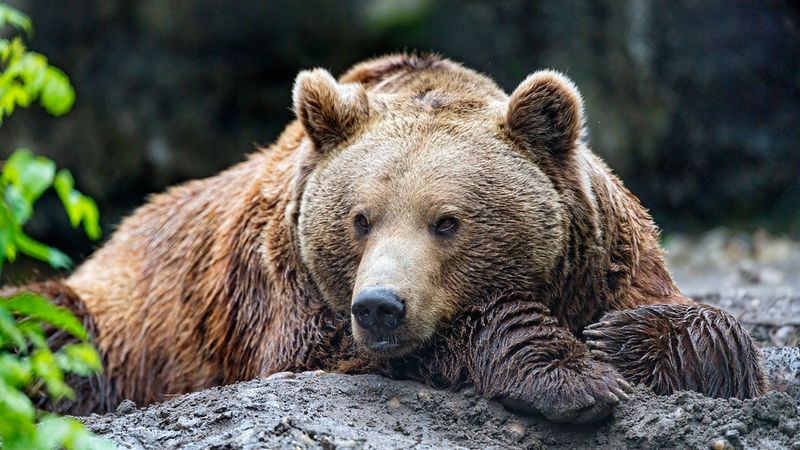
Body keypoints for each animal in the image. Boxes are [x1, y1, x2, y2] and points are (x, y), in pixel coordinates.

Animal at [3, 53, 766, 423]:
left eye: (448, 220)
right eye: (359, 218)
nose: (379, 307)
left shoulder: (613, 258)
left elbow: (706, 326)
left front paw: (623, 340)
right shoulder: (282, 296)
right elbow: (341, 352)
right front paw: (570, 374)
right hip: (116, 320)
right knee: (46, 323)